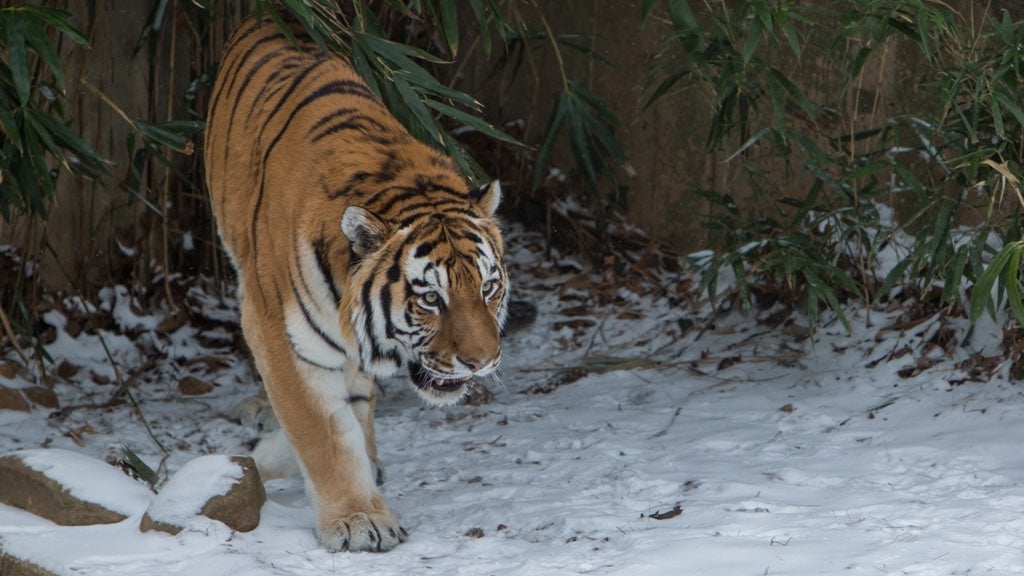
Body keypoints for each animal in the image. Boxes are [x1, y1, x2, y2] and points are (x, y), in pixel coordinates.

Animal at [205, 15, 509, 549]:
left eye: (488, 289)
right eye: (431, 298)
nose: (481, 363)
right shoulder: (279, 334)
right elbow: (323, 432)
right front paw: (358, 521)